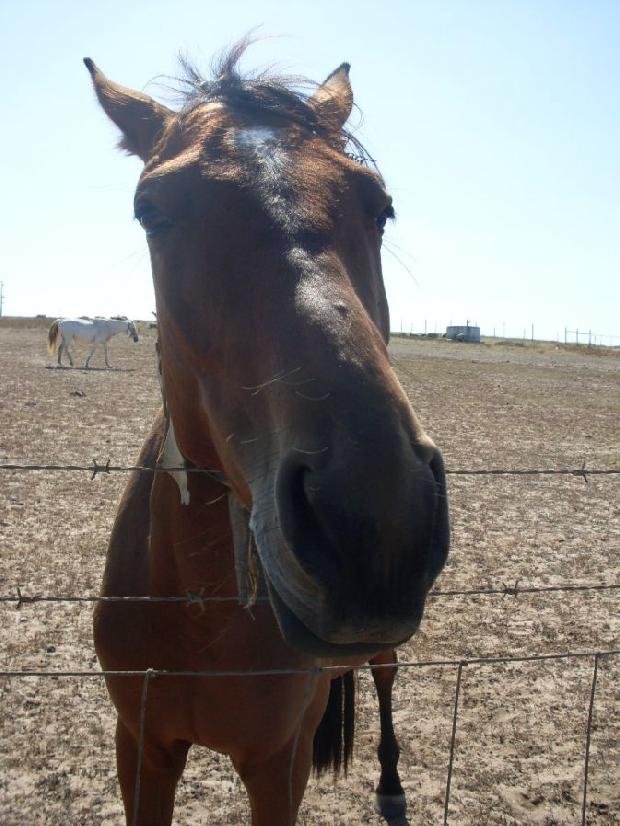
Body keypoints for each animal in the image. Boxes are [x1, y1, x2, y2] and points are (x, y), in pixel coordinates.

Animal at [85, 40, 449, 826]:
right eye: (149, 211)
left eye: (381, 207)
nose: (372, 523)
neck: (201, 608)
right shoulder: (142, 747)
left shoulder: (279, 765)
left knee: (386, 677)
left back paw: (391, 781)